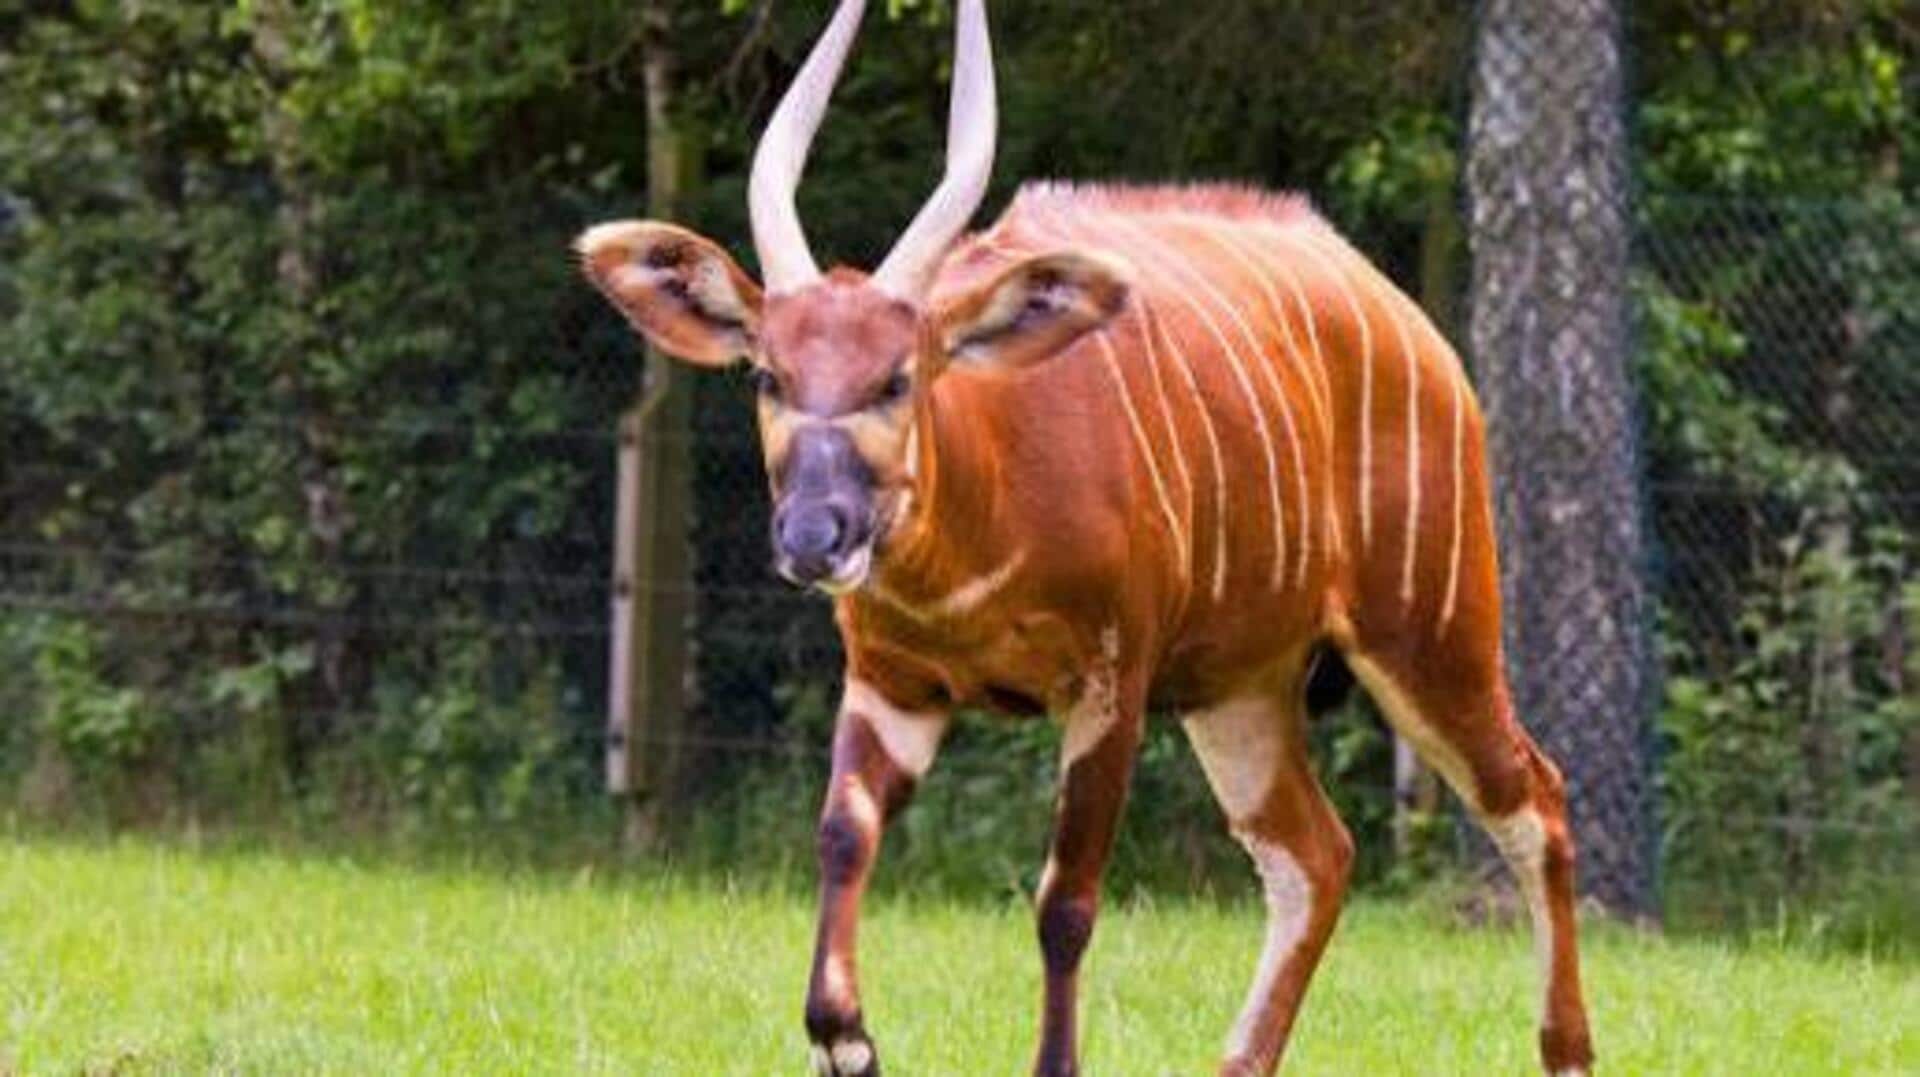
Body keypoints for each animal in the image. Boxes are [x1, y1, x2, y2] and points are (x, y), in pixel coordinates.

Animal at [576, 1, 1595, 1073]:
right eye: (770, 374)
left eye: (900, 375)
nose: (816, 534)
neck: (974, 545)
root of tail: (1415, 327)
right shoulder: (894, 682)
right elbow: (842, 834)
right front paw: (845, 1036)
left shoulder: (1111, 687)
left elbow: (1066, 901)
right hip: (1241, 690)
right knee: (1315, 853)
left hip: (1431, 639)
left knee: (1535, 799)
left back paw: (1567, 1047)